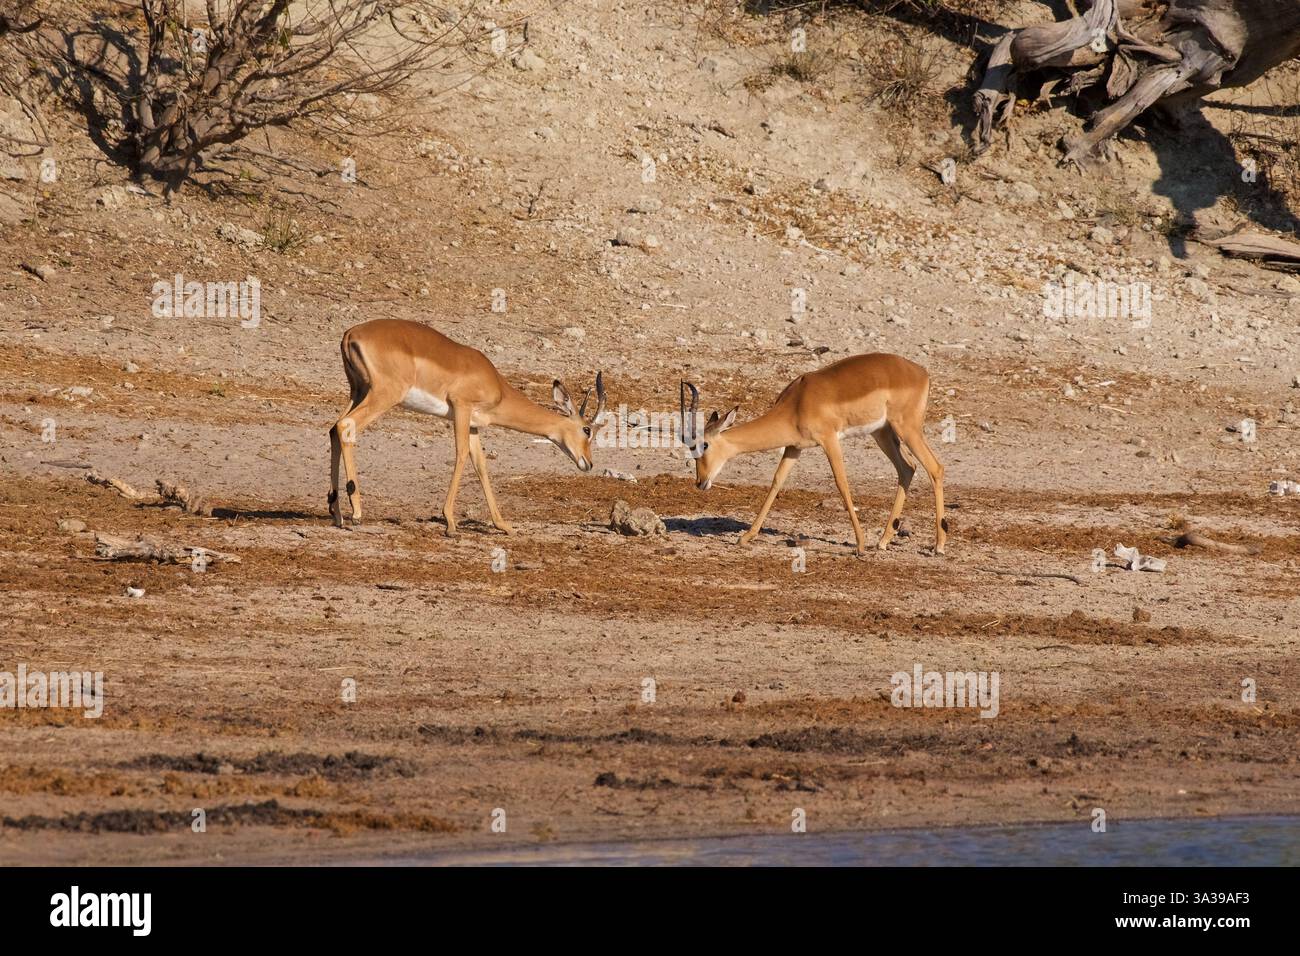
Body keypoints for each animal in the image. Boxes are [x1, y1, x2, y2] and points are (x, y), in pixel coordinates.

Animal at [328, 319, 606, 535]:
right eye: (587, 430)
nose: (589, 463)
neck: (497, 385)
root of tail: (351, 333)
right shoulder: (461, 408)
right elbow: (460, 454)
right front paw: (450, 523)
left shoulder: (474, 425)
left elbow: (481, 465)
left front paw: (503, 525)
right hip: (384, 394)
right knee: (346, 425)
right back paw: (356, 512)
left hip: (358, 391)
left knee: (334, 428)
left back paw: (336, 511)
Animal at [681, 353, 947, 555]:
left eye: (703, 445)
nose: (700, 482)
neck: (797, 402)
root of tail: (921, 372)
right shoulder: (794, 447)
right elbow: (776, 481)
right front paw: (745, 537)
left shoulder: (829, 440)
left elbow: (842, 483)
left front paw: (860, 546)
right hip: (882, 432)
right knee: (907, 467)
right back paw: (883, 541)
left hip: (907, 428)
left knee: (935, 467)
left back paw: (938, 546)